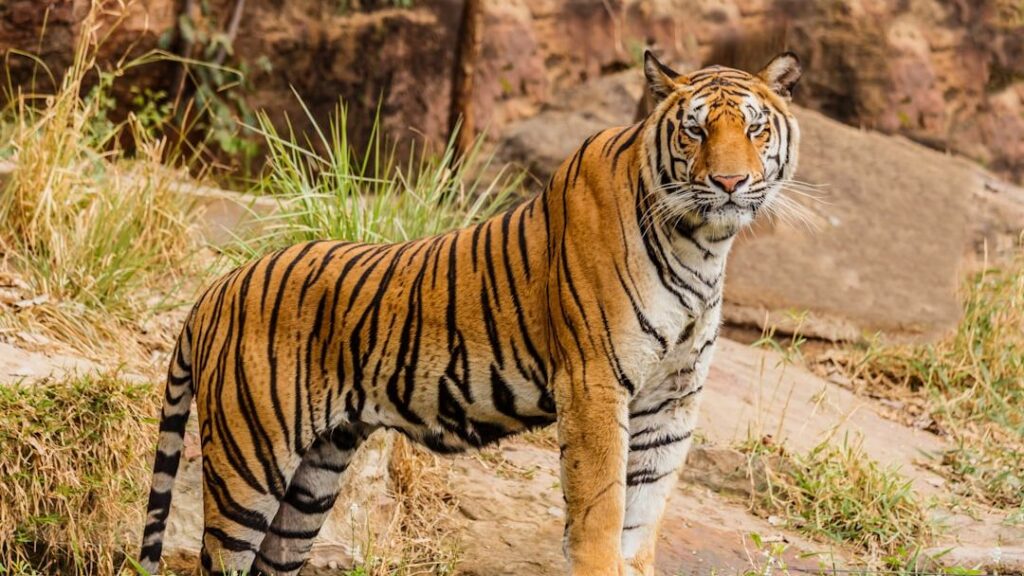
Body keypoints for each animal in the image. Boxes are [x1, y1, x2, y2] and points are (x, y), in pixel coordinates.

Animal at [138, 50, 801, 576]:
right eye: (695, 131)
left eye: (755, 129)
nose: (730, 182)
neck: (703, 245)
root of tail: (215, 289)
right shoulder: (594, 383)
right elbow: (601, 510)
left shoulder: (672, 400)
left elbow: (642, 516)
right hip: (249, 463)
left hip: (314, 479)